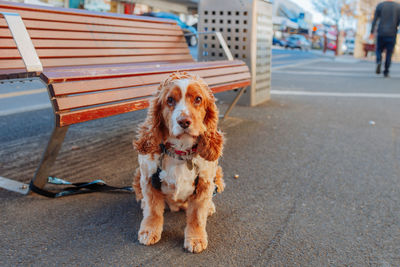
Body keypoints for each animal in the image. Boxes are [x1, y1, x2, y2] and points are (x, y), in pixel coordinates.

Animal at [132, 71, 223, 253]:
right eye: (170, 100)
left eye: (198, 99)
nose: (184, 121)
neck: (180, 152)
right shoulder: (148, 179)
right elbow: (153, 210)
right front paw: (149, 231)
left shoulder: (205, 183)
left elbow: (197, 215)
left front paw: (195, 238)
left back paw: (210, 206)